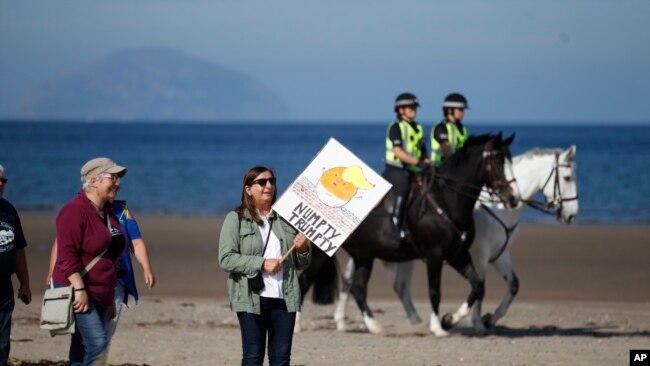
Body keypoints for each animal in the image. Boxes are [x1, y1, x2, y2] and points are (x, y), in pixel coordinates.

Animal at [296, 133, 512, 336]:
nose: (511, 197)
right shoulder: (435, 255)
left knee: (358, 288)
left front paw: (450, 319)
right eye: (498, 161)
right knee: (305, 281)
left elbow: (477, 286)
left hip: (363, 255)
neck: (446, 200)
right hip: (322, 254)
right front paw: (438, 327)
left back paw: (374, 326)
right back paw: (297, 326)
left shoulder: (457, 255)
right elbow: (435, 291)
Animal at [334, 144, 576, 334]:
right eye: (567, 178)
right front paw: (473, 323)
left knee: (378, 285)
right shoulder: (476, 254)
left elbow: (510, 285)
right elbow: (479, 288)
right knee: (354, 283)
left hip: (378, 254)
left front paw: (488, 319)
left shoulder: (498, 254)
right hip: (369, 253)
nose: (572, 215)